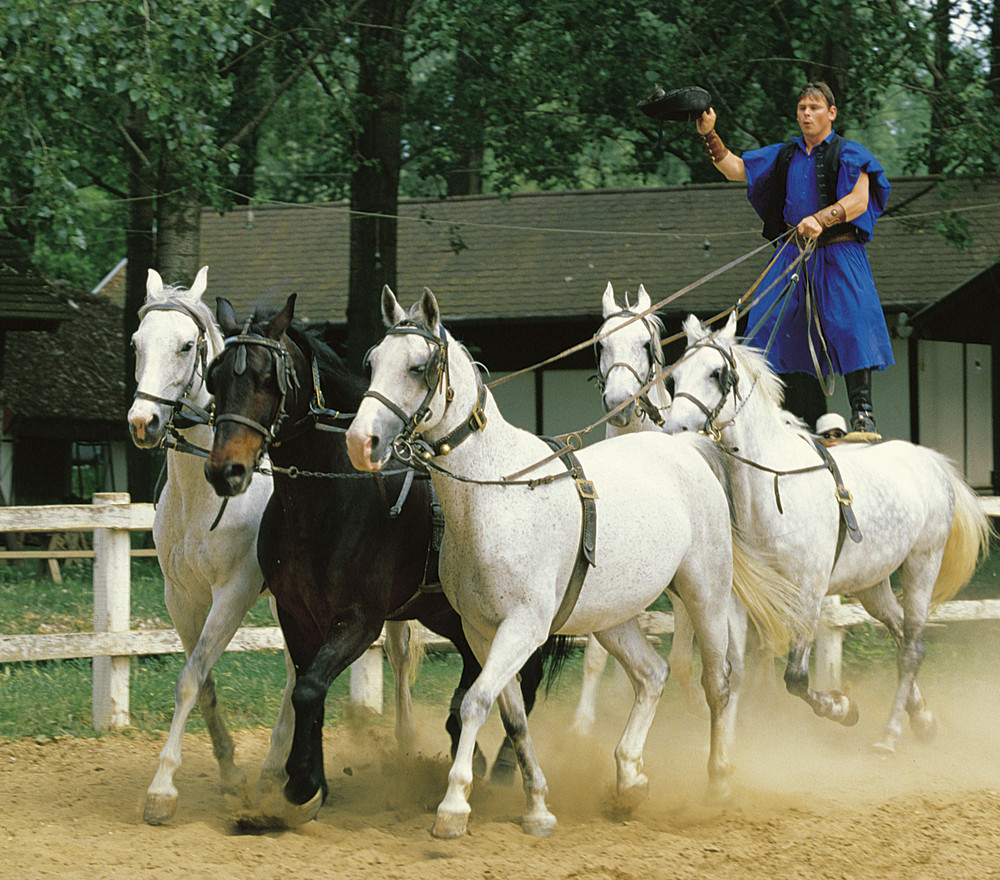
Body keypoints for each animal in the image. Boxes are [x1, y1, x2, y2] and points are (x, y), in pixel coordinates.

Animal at [127, 264, 294, 820]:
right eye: (137, 343)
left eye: (185, 346)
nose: (143, 423)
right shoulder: (181, 598)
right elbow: (202, 685)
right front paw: (229, 773)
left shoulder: (233, 595)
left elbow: (189, 679)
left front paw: (161, 788)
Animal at [204, 296, 568, 824]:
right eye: (214, 377)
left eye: (267, 378)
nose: (225, 470)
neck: (326, 499)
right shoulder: (297, 616)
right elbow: (307, 691)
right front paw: (310, 781)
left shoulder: (360, 620)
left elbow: (309, 689)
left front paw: (302, 782)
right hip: (456, 618)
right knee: (476, 679)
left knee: (527, 679)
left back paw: (500, 770)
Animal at [344, 288, 796, 840]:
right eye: (372, 362)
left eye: (417, 366)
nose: (360, 442)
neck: (497, 488)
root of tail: (686, 447)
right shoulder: (481, 632)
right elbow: (513, 716)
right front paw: (538, 806)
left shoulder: (524, 628)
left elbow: (475, 703)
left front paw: (453, 806)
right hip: (611, 618)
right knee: (653, 675)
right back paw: (629, 780)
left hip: (705, 594)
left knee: (719, 682)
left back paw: (718, 783)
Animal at [668, 312, 988, 752]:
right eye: (673, 376)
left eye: (718, 374)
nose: (672, 430)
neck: (773, 485)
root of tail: (930, 459)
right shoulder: (738, 597)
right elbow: (734, 670)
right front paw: (723, 749)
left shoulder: (809, 591)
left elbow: (796, 678)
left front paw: (842, 707)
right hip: (872, 583)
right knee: (898, 631)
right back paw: (922, 718)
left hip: (922, 564)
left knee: (912, 648)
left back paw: (890, 736)